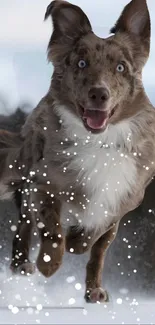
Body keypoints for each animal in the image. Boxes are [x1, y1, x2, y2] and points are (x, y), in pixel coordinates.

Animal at [0, 0, 155, 302]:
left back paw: (94, 290)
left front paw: (76, 241)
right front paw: (48, 265)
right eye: (82, 63)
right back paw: (22, 265)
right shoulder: (42, 184)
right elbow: (51, 230)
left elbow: (91, 240)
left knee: (98, 254)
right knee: (24, 227)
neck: (99, 142)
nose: (99, 94)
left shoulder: (120, 202)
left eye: (121, 67)